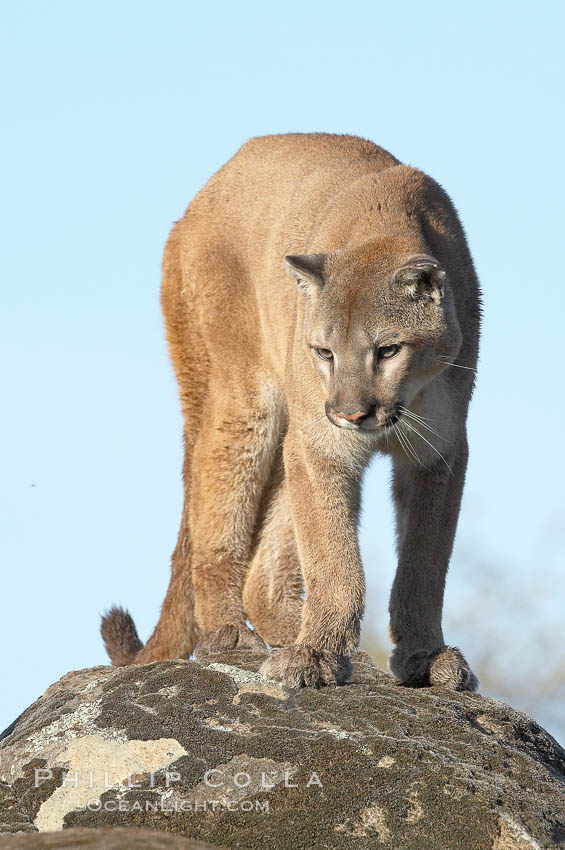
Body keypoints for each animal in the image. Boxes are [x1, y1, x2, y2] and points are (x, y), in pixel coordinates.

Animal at [100, 132, 480, 688]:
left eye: (388, 350)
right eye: (324, 351)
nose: (351, 414)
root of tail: (203, 194)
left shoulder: (439, 452)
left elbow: (424, 565)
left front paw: (426, 658)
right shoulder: (321, 445)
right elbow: (334, 558)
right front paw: (317, 655)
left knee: (263, 570)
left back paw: (292, 634)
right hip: (247, 404)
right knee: (215, 511)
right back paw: (231, 637)